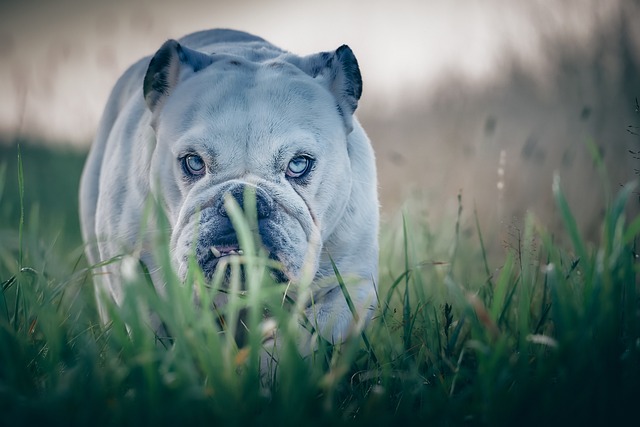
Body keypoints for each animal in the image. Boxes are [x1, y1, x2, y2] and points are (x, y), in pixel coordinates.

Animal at [80, 28, 380, 364]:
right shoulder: (132, 274)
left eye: (299, 164)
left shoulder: (349, 287)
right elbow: (153, 331)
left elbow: (306, 337)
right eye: (193, 162)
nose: (244, 198)